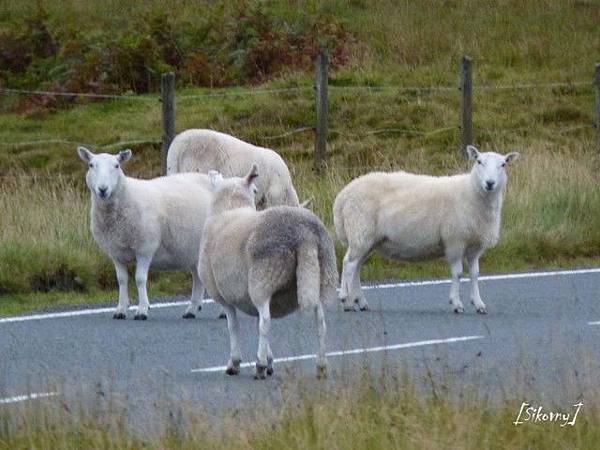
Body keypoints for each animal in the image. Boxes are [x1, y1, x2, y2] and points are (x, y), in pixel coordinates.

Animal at [78, 148, 211, 320]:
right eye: (91, 165)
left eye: (116, 165)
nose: (102, 189)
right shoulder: (116, 252)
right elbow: (121, 280)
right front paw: (120, 309)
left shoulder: (145, 248)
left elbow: (140, 279)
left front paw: (142, 310)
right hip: (192, 250)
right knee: (197, 277)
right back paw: (192, 309)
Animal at [198, 163, 336, 378]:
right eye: (255, 190)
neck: (230, 207)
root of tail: (304, 235)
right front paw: (271, 361)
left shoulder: (221, 295)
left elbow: (234, 327)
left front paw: (236, 362)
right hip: (322, 275)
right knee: (320, 321)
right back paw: (321, 365)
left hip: (263, 279)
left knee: (266, 321)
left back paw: (260, 366)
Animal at [332, 146, 520, 314]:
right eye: (479, 161)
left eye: (503, 164)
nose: (490, 183)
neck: (472, 192)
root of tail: (342, 196)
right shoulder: (455, 241)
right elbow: (458, 273)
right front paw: (456, 303)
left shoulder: (475, 245)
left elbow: (474, 274)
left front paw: (479, 303)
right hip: (360, 231)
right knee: (349, 264)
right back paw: (346, 301)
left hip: (367, 239)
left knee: (356, 267)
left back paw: (360, 302)